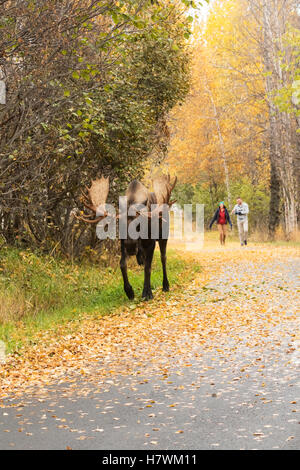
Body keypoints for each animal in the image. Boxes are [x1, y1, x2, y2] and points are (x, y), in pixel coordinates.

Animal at [76, 173, 178, 302]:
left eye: (139, 224)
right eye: (120, 225)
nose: (130, 247)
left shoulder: (151, 243)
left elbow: (148, 268)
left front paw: (147, 293)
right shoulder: (122, 243)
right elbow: (122, 264)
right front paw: (129, 292)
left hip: (163, 236)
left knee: (163, 258)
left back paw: (165, 285)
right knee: (142, 258)